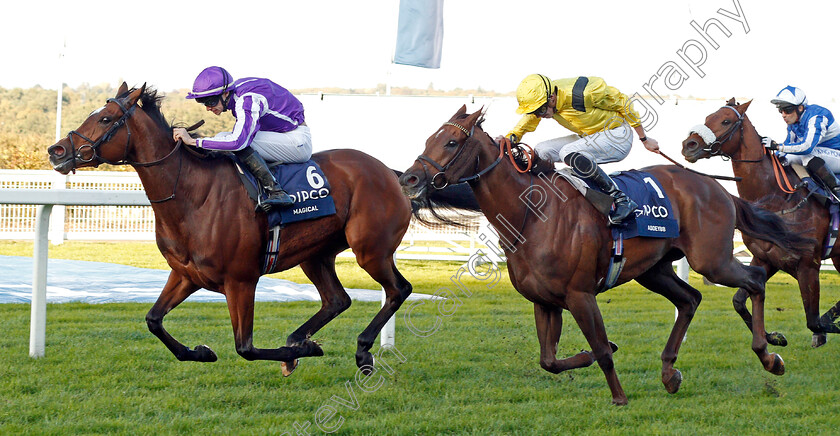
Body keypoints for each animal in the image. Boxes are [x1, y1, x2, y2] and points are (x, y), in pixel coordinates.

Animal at [46, 82, 470, 374]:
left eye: (104, 119)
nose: (57, 151)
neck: (191, 194)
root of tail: (392, 173)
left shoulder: (241, 280)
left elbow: (245, 347)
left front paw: (303, 352)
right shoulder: (186, 274)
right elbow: (153, 320)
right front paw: (200, 352)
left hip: (371, 249)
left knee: (399, 289)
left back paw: (361, 350)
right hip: (316, 254)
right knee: (337, 299)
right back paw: (300, 338)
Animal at [400, 105, 812, 406]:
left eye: (452, 142)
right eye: (430, 138)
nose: (409, 179)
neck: (533, 214)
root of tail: (719, 188)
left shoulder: (580, 295)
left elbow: (602, 350)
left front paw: (619, 397)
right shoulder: (545, 301)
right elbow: (549, 361)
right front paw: (593, 360)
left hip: (711, 260)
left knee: (753, 281)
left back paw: (769, 354)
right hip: (654, 269)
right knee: (690, 299)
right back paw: (670, 373)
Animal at [684, 99, 840, 348]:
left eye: (726, 121)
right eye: (708, 117)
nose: (688, 145)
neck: (778, 198)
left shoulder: (808, 265)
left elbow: (814, 321)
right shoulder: (765, 259)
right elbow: (738, 300)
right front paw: (773, 336)